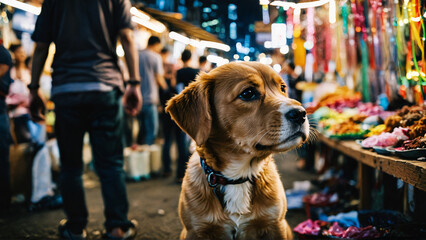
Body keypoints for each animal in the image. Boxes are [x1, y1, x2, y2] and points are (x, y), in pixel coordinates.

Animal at [166, 62, 310, 240]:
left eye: (282, 88)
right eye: (248, 93)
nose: (301, 113)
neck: (239, 176)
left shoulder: (276, 225)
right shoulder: (195, 230)